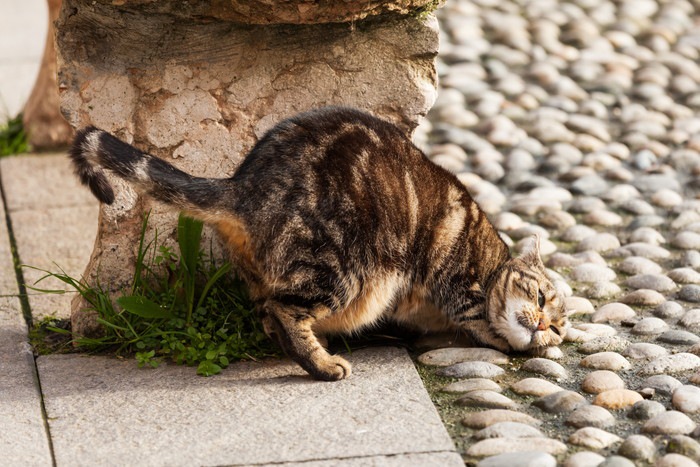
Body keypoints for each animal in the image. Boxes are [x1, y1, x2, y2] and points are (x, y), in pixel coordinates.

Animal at [69, 105, 568, 380]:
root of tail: (244, 185)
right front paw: (508, 338)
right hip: (341, 267)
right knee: (286, 312)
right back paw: (325, 365)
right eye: (541, 297)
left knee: (270, 313)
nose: (546, 326)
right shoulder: (458, 283)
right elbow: (484, 323)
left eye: (561, 326)